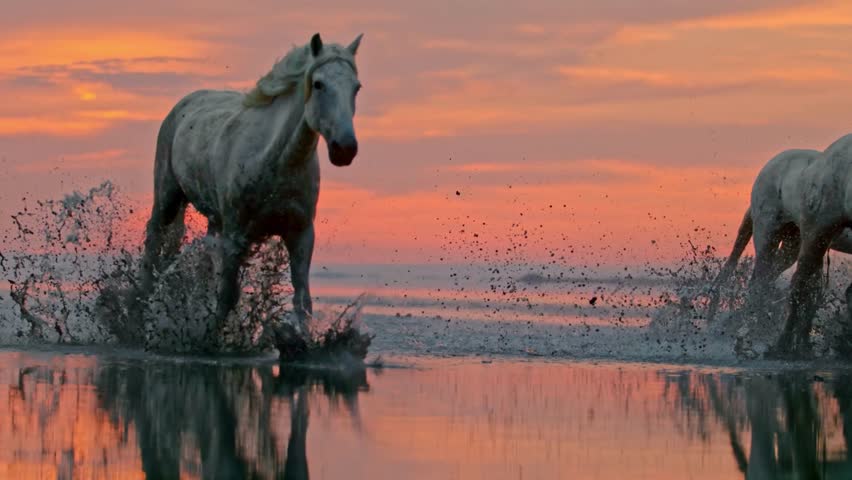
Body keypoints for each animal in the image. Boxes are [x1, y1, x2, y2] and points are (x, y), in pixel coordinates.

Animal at [139, 33, 364, 339]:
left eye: (356, 87)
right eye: (318, 84)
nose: (345, 149)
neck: (273, 161)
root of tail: (184, 103)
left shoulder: (301, 234)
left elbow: (302, 300)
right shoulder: (236, 237)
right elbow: (227, 296)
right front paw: (213, 340)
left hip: (215, 220)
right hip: (168, 198)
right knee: (153, 239)